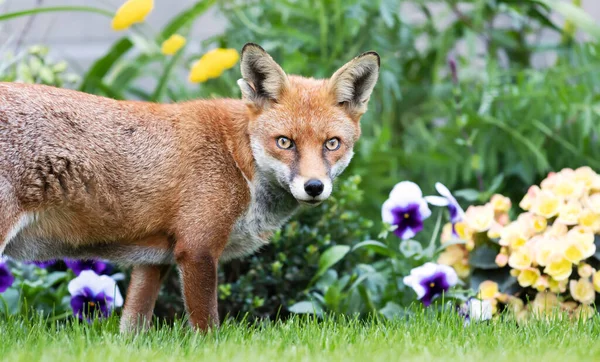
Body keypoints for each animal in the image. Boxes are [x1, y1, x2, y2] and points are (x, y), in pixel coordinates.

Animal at [0, 42, 380, 330]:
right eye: (284, 142)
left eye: (332, 144)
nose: (314, 187)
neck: (237, 159)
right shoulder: (197, 249)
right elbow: (207, 328)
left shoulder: (155, 259)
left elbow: (132, 327)